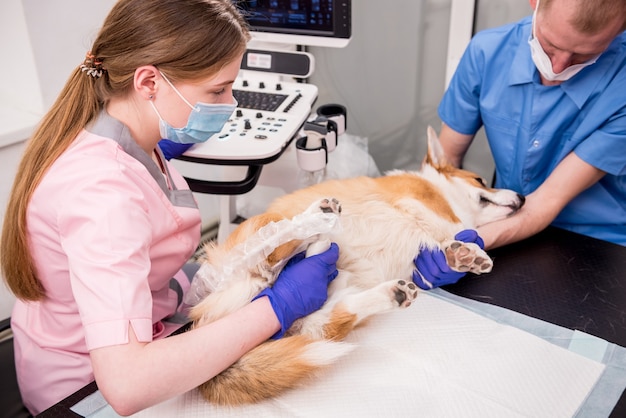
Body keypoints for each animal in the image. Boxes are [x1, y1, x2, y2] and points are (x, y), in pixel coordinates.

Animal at [188, 126, 524, 404]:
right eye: (481, 181)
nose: (522, 196)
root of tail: (203, 322)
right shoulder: (423, 204)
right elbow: (449, 228)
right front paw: (467, 249)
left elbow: (447, 244)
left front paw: (464, 257)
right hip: (264, 234)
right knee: (270, 249)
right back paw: (319, 216)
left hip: (321, 313)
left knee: (334, 308)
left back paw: (381, 286)